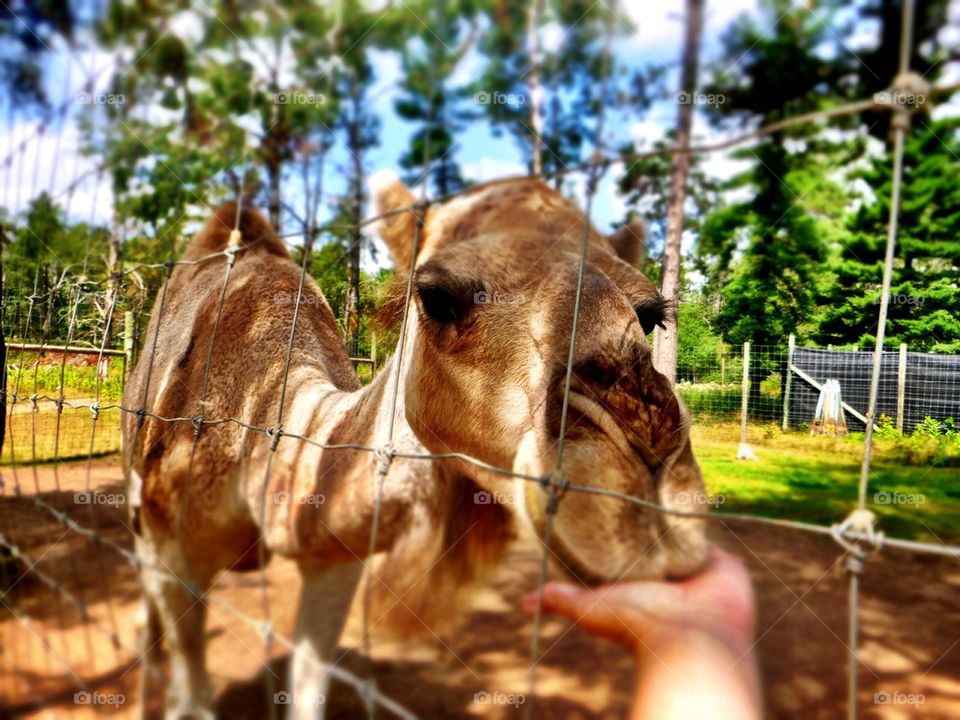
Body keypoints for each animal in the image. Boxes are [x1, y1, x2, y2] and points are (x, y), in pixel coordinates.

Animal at [122, 173, 709, 719]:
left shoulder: (335, 558)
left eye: (650, 316)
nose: (646, 487)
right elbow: (191, 691)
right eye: (437, 297)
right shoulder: (167, 542)